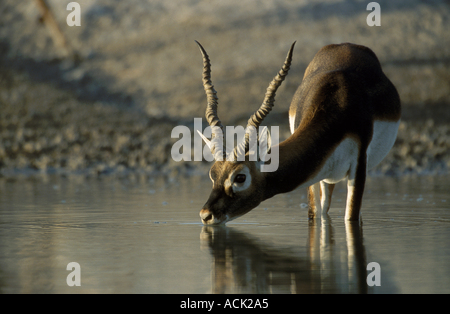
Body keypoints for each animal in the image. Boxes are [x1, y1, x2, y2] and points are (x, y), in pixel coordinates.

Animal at [197, 41, 400, 224]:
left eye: (240, 177)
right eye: (212, 174)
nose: (205, 215)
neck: (337, 103)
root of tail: (346, 45)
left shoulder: (358, 169)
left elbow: (351, 218)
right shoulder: (314, 175)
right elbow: (314, 215)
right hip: (326, 177)